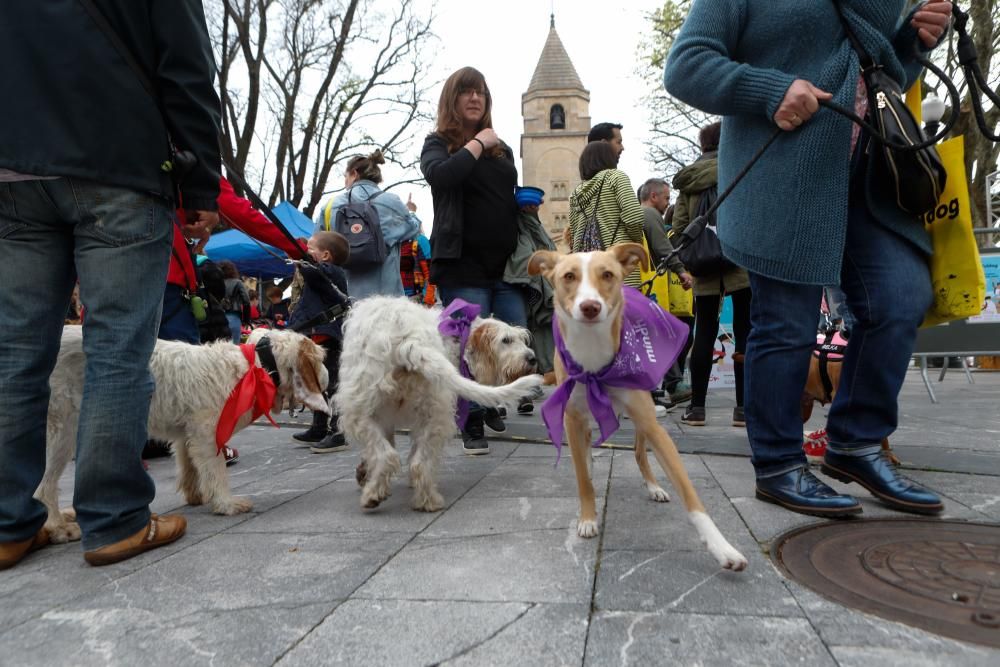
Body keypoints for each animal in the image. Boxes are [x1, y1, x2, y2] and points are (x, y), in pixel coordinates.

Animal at [37, 328, 328, 544]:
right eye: (320, 360)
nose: (328, 377)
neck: (254, 369)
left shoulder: (186, 434)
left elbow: (189, 465)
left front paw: (196, 495)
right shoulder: (207, 434)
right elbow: (216, 469)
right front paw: (225, 503)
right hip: (61, 430)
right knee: (43, 487)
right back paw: (57, 527)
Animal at [336, 298, 544, 512]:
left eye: (521, 339)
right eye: (506, 340)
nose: (532, 359)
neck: (454, 339)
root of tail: (409, 339)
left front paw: (366, 473)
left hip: (358, 413)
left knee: (387, 456)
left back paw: (374, 495)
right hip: (432, 413)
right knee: (417, 462)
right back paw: (426, 500)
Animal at [528, 247, 748, 576]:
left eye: (607, 274)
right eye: (568, 276)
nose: (590, 307)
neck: (594, 360)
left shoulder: (651, 425)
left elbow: (690, 494)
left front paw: (723, 549)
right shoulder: (571, 419)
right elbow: (582, 478)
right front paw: (588, 518)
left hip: (643, 420)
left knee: (639, 454)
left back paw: (655, 487)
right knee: (590, 452)